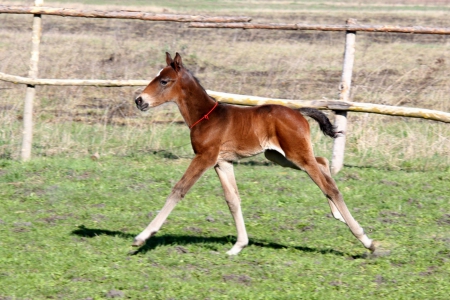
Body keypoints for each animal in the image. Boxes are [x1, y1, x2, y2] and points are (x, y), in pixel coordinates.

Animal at [134, 52, 376, 254]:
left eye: (164, 81)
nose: (139, 100)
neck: (206, 117)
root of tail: (298, 112)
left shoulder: (204, 157)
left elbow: (179, 189)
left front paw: (142, 237)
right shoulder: (222, 162)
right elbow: (232, 199)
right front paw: (238, 246)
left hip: (296, 155)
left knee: (328, 186)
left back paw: (366, 240)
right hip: (280, 156)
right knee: (323, 162)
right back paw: (338, 216)